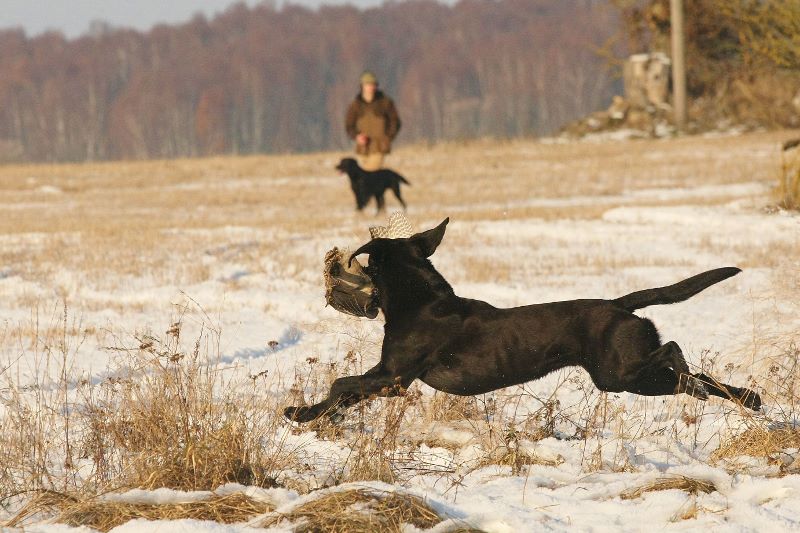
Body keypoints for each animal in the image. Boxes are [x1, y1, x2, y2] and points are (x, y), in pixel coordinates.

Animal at [284, 218, 760, 422]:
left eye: (365, 264)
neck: (420, 301)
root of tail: (619, 304)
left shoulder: (393, 377)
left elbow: (341, 384)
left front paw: (302, 415)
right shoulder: (385, 378)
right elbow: (346, 391)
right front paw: (312, 415)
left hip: (617, 373)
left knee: (676, 354)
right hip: (635, 378)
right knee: (697, 377)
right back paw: (750, 398)